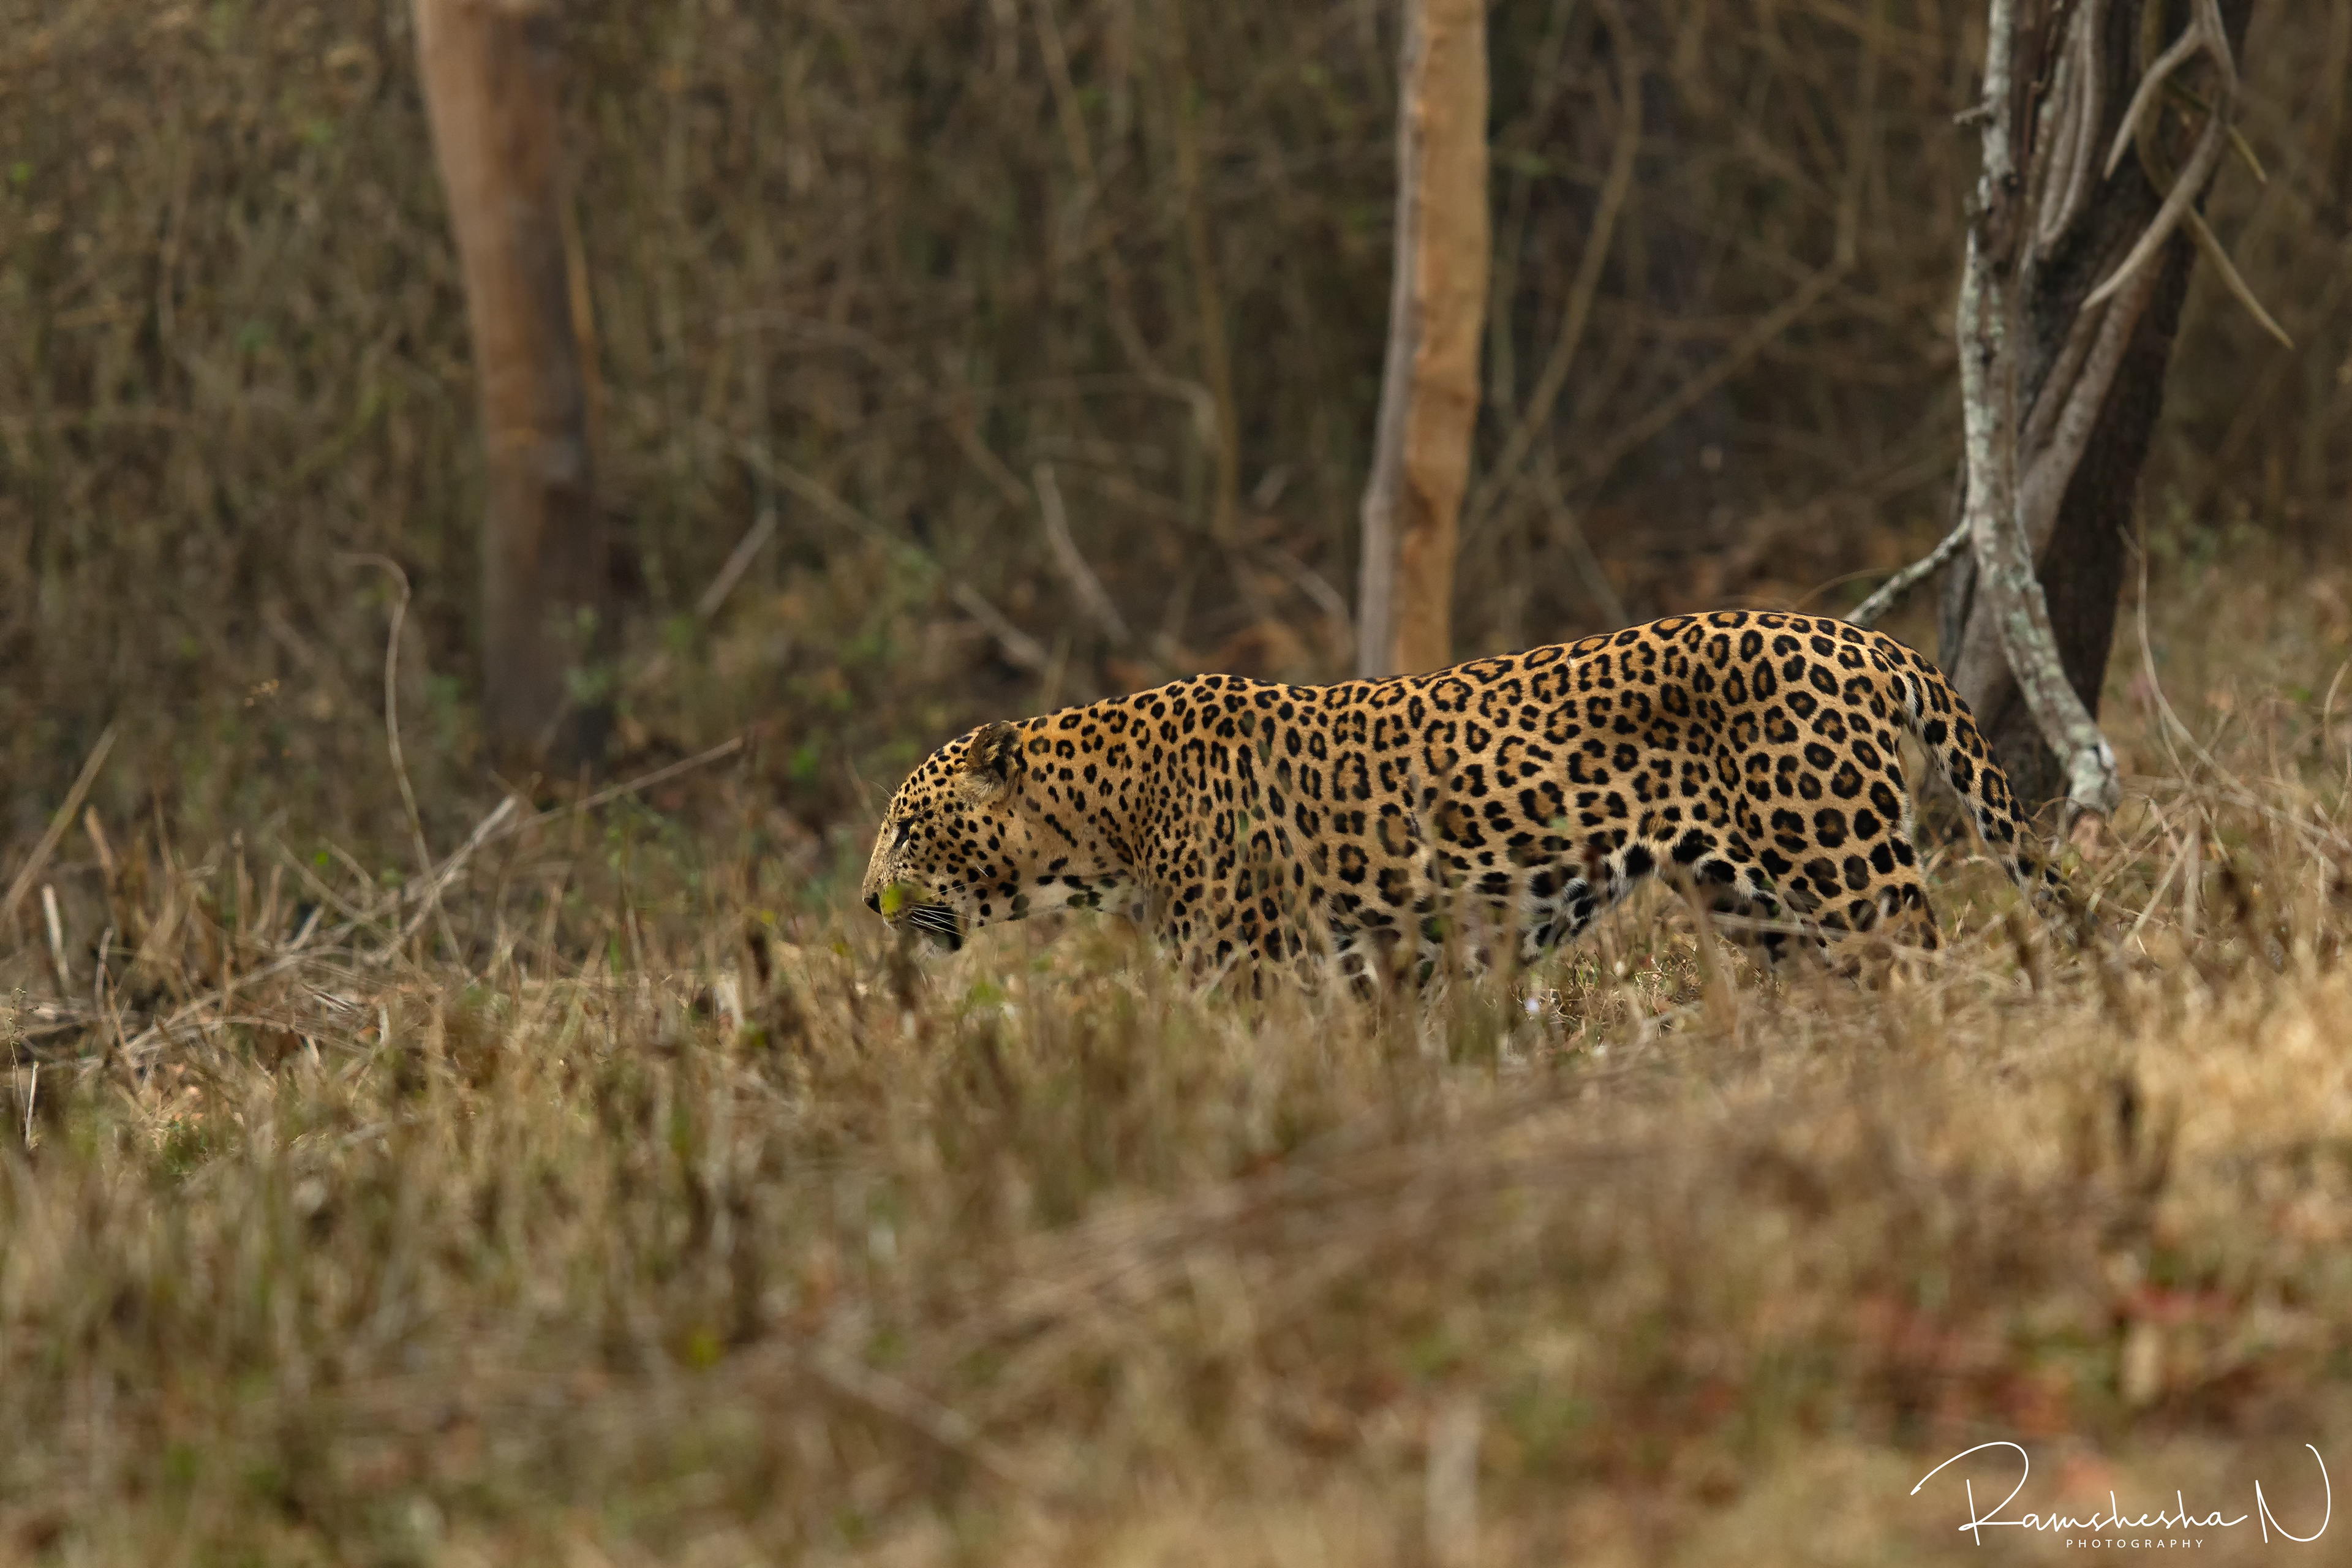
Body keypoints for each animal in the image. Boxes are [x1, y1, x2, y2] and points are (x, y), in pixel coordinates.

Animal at [861, 610, 2056, 980]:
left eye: (909, 828)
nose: (866, 903)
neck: (1100, 822)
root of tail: (1858, 634)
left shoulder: (1247, 978)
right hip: (1757, 901)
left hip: (1843, 864)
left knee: (1927, 964)